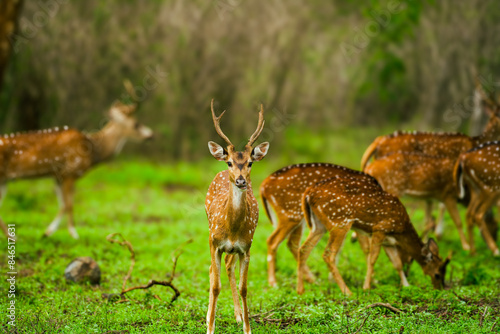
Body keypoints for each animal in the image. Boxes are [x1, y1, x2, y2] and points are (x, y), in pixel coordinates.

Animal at [0, 100, 153, 239]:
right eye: (136, 124)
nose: (151, 135)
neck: (92, 151)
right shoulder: (70, 172)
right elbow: (69, 204)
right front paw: (73, 233)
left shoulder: (58, 176)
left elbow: (63, 204)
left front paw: (47, 233)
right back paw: (12, 236)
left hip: (4, 181)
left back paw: (11, 236)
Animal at [205, 99, 270, 334]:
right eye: (230, 162)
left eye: (250, 162)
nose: (241, 180)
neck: (231, 229)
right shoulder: (215, 242)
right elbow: (216, 286)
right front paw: (210, 327)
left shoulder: (246, 247)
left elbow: (244, 288)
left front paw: (247, 327)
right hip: (210, 235)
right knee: (212, 271)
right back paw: (209, 316)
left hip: (234, 249)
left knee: (228, 266)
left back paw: (238, 316)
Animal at [296, 175, 450, 294]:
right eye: (437, 274)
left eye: (444, 273)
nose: (440, 289)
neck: (401, 230)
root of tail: (308, 193)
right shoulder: (380, 228)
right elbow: (372, 258)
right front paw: (366, 287)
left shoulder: (389, 241)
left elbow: (397, 263)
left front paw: (407, 286)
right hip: (340, 221)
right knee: (328, 254)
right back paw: (347, 292)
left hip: (318, 225)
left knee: (303, 249)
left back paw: (300, 290)